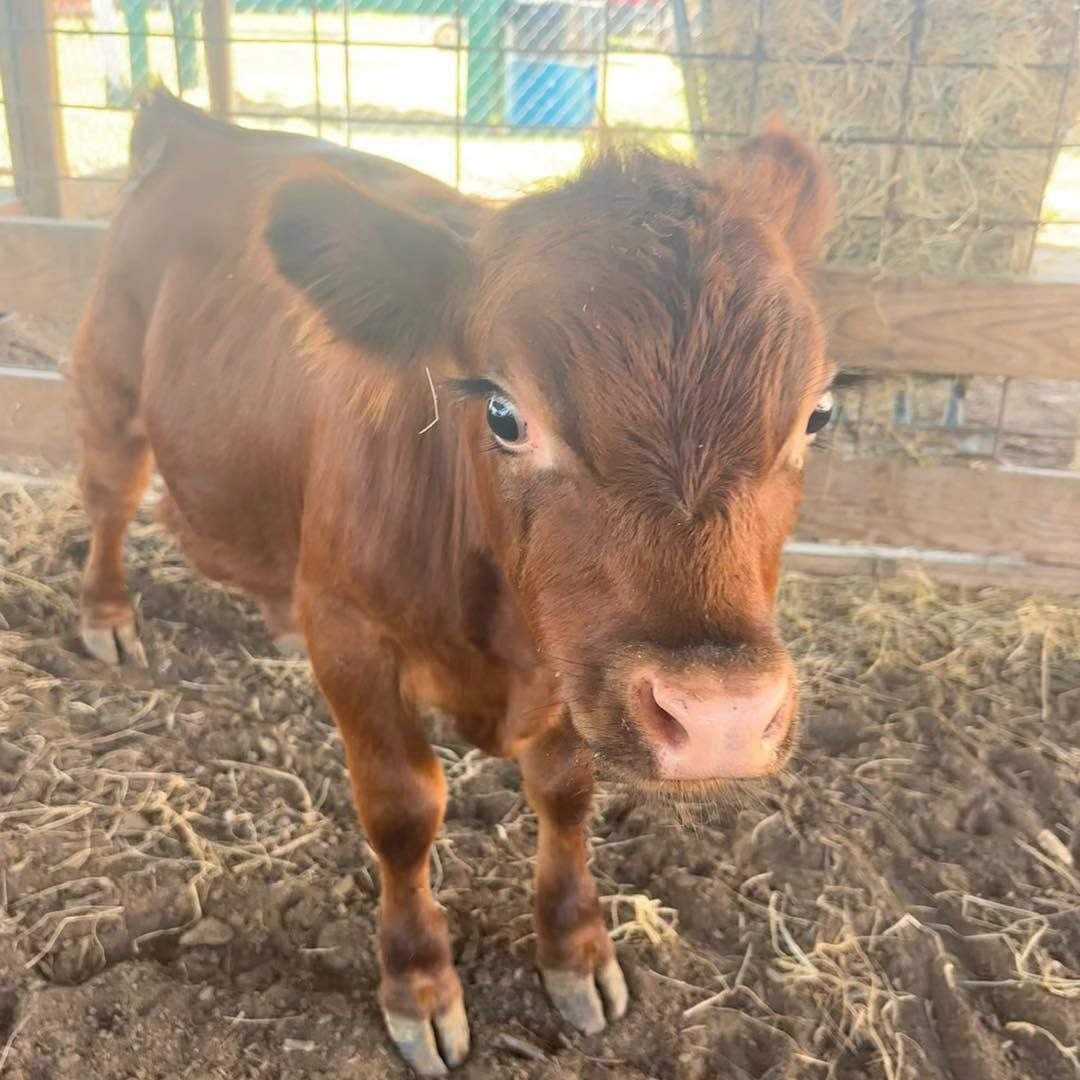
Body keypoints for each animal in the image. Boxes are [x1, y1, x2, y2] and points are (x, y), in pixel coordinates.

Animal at [73, 90, 835, 1074]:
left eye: (818, 414)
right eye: (504, 414)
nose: (721, 717)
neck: (503, 646)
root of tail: (197, 126)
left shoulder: (575, 666)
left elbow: (566, 792)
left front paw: (575, 950)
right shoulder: (352, 633)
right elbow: (403, 808)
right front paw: (419, 984)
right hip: (110, 385)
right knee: (109, 495)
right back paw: (106, 613)